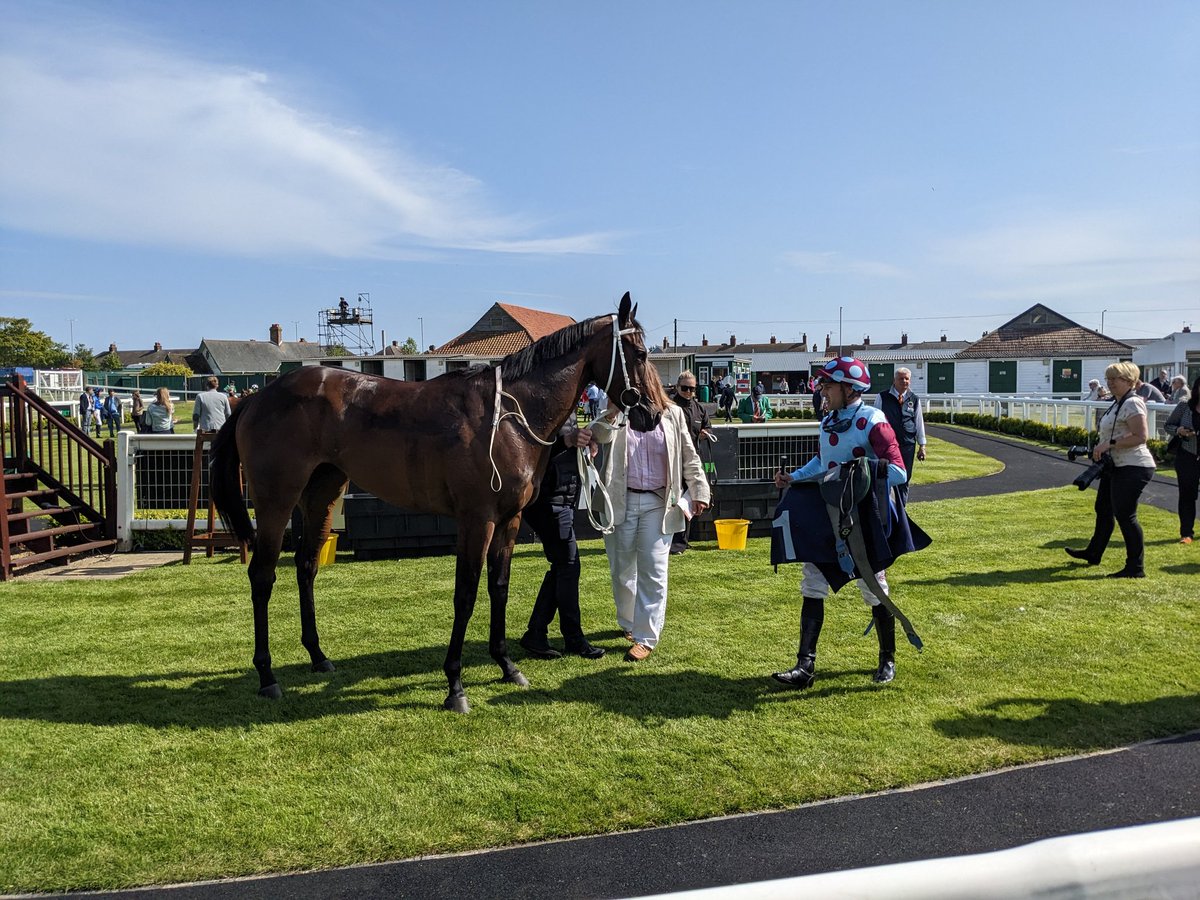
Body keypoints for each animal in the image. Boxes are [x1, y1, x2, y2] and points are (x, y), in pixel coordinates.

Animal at [211, 294, 652, 710]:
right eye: (641, 354)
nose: (651, 412)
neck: (507, 416)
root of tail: (256, 398)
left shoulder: (508, 521)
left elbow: (499, 588)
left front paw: (506, 665)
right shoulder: (476, 520)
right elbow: (466, 594)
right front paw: (455, 685)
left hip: (322, 494)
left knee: (306, 567)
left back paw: (318, 656)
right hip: (276, 500)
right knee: (262, 577)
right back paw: (267, 676)